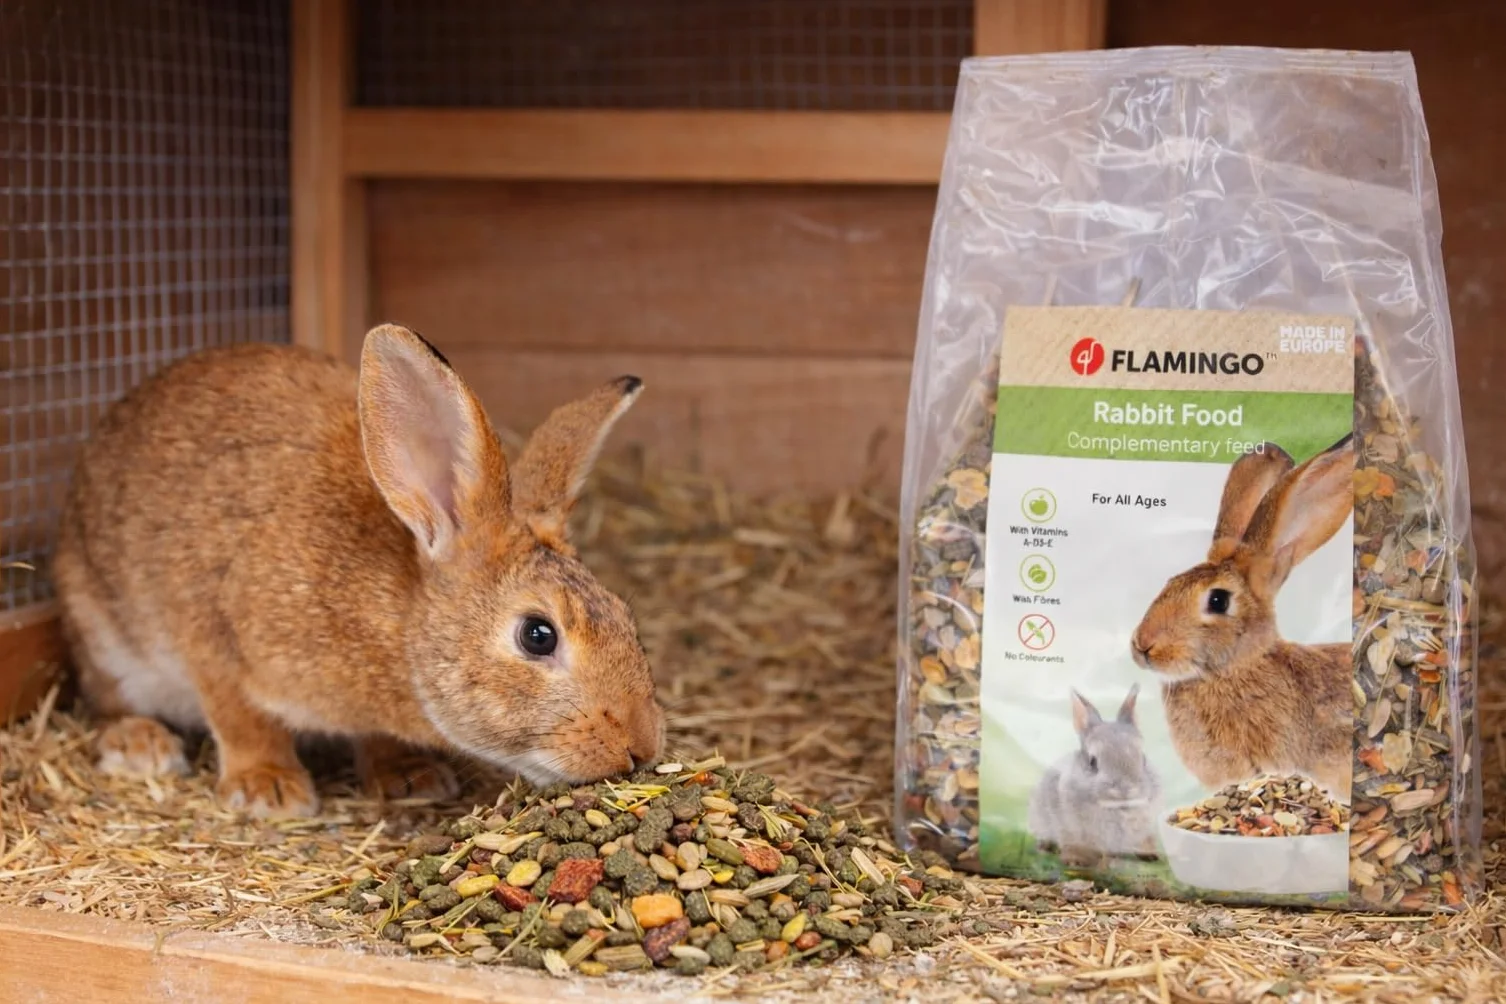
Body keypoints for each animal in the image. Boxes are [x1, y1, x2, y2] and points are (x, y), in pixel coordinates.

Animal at [51, 323, 666, 818]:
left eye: (626, 617)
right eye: (538, 635)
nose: (640, 747)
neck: (399, 623)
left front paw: (408, 777)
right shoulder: (210, 628)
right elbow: (242, 717)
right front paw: (267, 788)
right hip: (106, 637)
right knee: (104, 698)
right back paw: (140, 744)